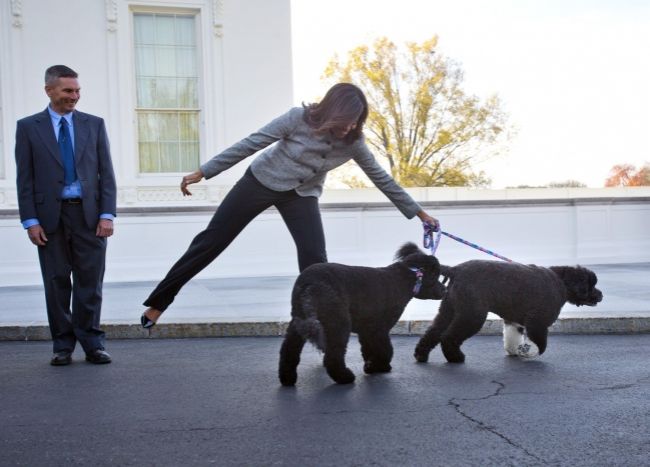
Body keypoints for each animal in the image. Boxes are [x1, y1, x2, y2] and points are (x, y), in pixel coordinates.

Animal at [278, 243, 446, 386]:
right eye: (436, 276)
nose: (444, 289)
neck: (404, 279)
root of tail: (309, 284)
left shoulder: (367, 329)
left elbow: (368, 349)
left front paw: (371, 366)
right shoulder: (379, 328)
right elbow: (385, 349)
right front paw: (382, 366)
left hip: (298, 322)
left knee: (288, 350)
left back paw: (287, 379)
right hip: (338, 323)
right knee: (333, 356)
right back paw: (345, 377)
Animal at [412, 262, 600, 364]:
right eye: (591, 284)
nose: (601, 295)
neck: (561, 282)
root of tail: (455, 270)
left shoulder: (513, 321)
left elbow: (512, 338)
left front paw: (514, 351)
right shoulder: (538, 322)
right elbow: (540, 344)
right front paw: (528, 352)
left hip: (449, 310)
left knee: (434, 332)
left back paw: (421, 355)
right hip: (472, 314)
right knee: (448, 337)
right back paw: (455, 357)